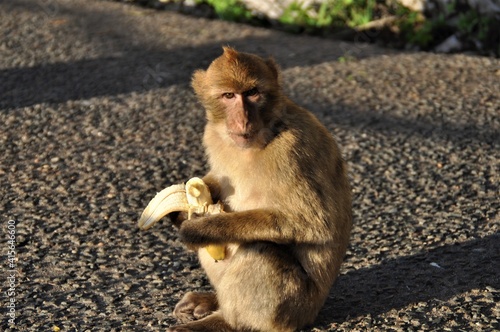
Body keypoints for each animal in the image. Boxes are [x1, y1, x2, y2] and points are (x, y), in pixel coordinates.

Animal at [167, 47, 352, 332]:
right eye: (229, 96)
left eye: (253, 93)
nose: (243, 120)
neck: (269, 129)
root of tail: (315, 310)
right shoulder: (212, 135)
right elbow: (218, 181)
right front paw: (180, 210)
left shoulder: (292, 150)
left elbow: (314, 224)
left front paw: (200, 228)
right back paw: (212, 302)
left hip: (296, 308)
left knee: (261, 250)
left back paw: (225, 321)